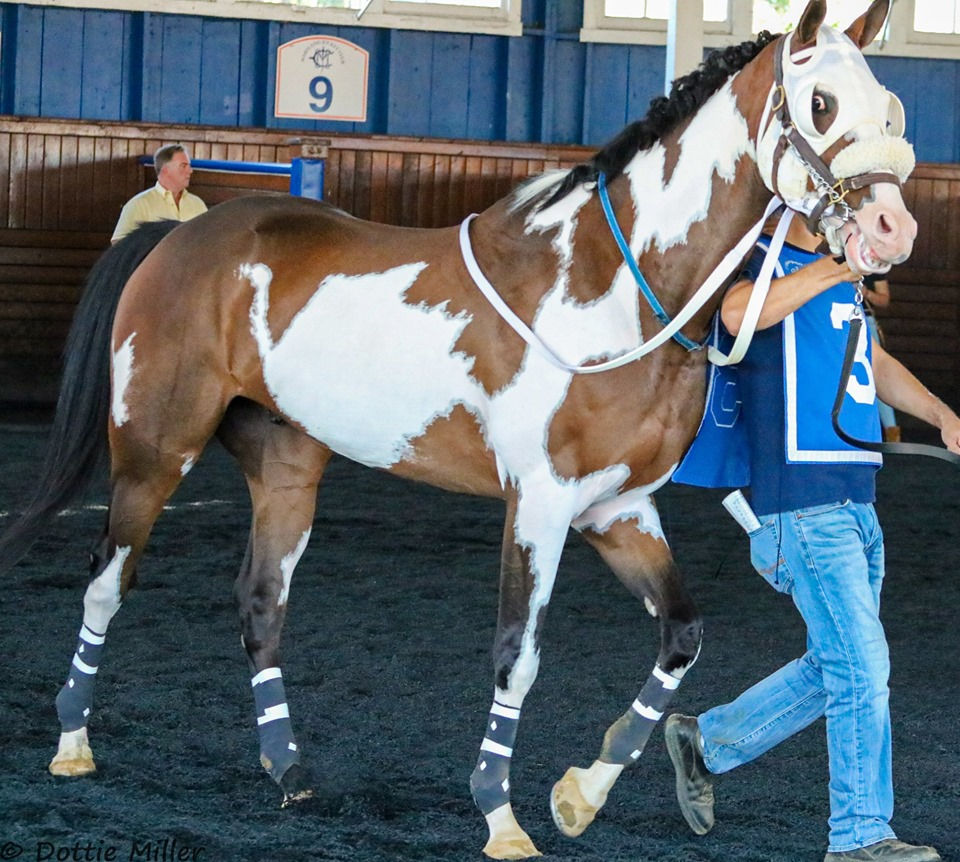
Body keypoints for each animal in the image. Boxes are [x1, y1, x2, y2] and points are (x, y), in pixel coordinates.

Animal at [0, 1, 918, 858]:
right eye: (822, 103)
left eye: (891, 108)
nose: (891, 229)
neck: (617, 288)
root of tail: (177, 237)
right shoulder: (540, 505)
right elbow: (519, 652)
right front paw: (500, 817)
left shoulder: (616, 509)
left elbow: (682, 637)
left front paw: (581, 792)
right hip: (153, 453)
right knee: (107, 583)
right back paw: (72, 743)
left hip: (287, 464)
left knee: (261, 603)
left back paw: (289, 771)